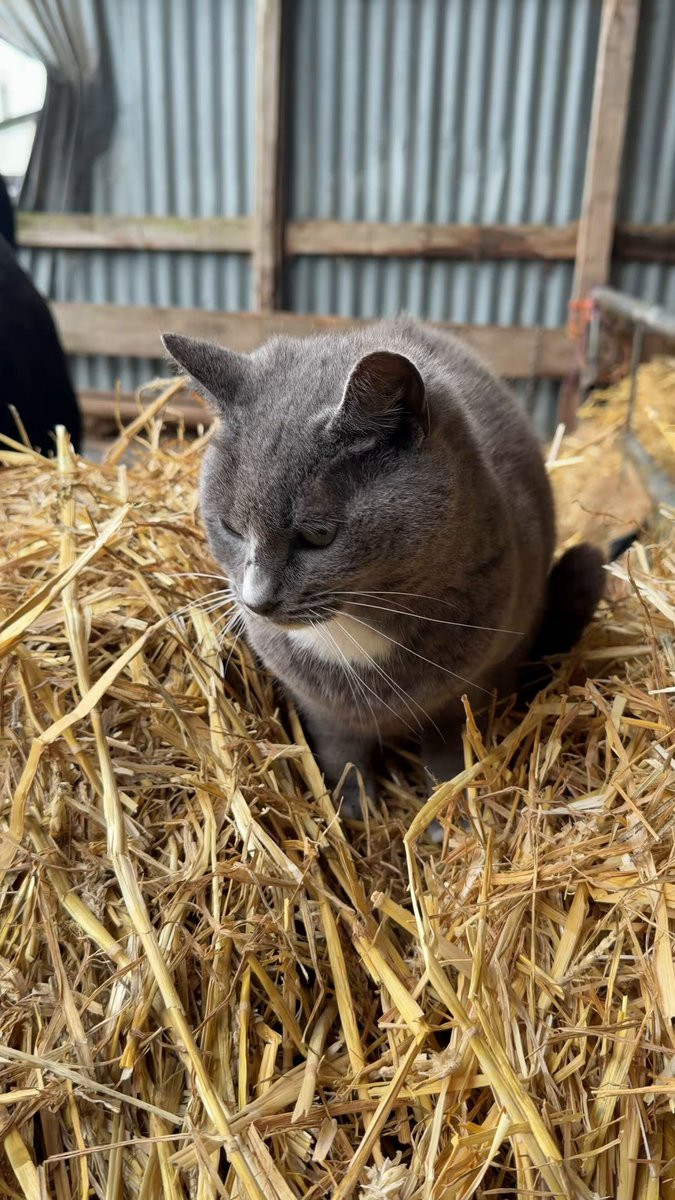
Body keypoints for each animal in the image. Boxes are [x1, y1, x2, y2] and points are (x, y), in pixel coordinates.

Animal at [163, 317, 605, 815]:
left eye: (319, 535)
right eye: (231, 528)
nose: (256, 601)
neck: (354, 632)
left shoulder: (467, 694)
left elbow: (448, 759)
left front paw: (444, 817)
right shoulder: (321, 709)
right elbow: (341, 754)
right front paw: (356, 811)